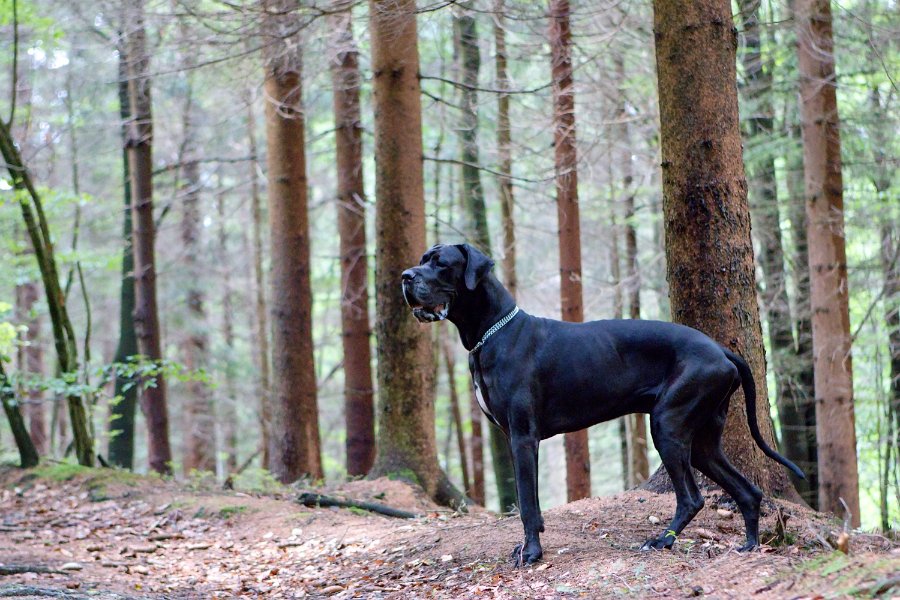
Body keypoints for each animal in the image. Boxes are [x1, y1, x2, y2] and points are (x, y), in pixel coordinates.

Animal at [400, 244, 800, 568]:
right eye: (422, 259)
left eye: (440, 263)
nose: (405, 276)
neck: (492, 333)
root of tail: (721, 349)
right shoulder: (514, 439)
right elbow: (530, 502)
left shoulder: (523, 437)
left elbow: (527, 504)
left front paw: (531, 553)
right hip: (703, 440)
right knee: (748, 491)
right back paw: (749, 546)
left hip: (668, 426)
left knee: (692, 497)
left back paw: (661, 542)